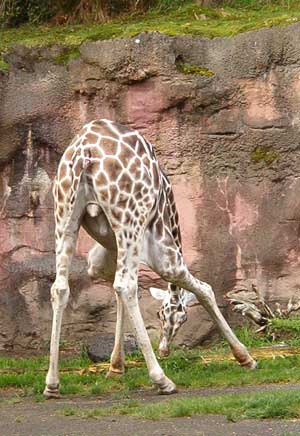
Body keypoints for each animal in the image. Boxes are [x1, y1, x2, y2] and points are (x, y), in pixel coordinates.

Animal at [43, 119, 256, 398]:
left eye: (178, 319)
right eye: (162, 315)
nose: (165, 350)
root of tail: (83, 153)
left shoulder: (102, 257)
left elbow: (113, 293)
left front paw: (116, 366)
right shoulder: (165, 256)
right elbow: (205, 289)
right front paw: (245, 357)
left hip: (65, 217)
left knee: (60, 288)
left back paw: (52, 383)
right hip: (130, 221)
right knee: (127, 285)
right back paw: (162, 379)